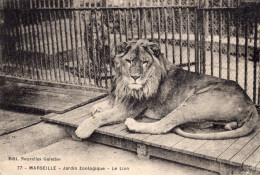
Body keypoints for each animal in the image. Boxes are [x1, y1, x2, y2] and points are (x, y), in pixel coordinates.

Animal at [74, 39, 258, 139]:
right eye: (129, 61)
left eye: (144, 62)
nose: (135, 77)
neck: (123, 83)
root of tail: (250, 103)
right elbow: (104, 105)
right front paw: (97, 107)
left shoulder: (129, 109)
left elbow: (102, 116)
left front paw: (84, 128)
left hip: (193, 103)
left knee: (163, 125)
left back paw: (133, 124)